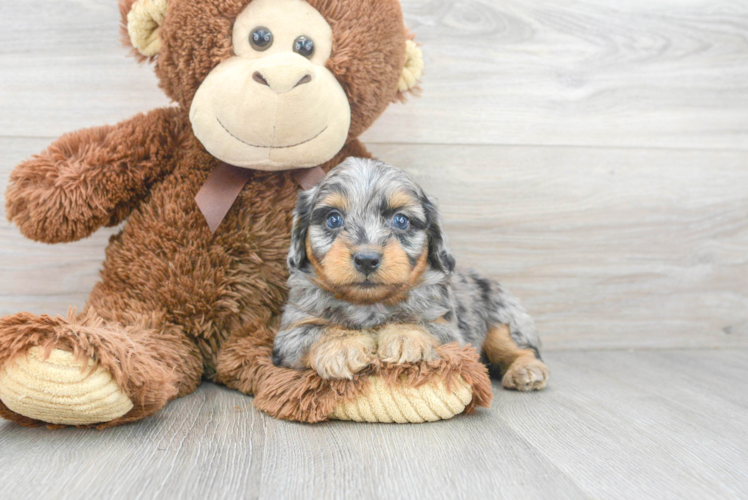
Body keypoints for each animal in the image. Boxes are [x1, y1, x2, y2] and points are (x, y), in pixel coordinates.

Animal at [274, 157, 548, 390]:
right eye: (333, 219)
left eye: (401, 220)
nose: (366, 260)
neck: (369, 304)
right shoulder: (290, 332)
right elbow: (314, 332)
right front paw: (342, 346)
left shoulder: (449, 329)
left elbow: (422, 325)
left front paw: (405, 338)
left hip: (502, 319)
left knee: (519, 347)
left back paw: (526, 370)